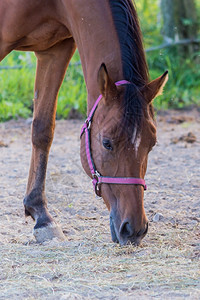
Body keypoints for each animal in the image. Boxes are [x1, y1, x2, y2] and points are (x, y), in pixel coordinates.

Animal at [0, 0, 167, 246]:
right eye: (107, 143)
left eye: (152, 144)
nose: (134, 229)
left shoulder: (55, 50)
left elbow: (42, 129)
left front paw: (40, 214)